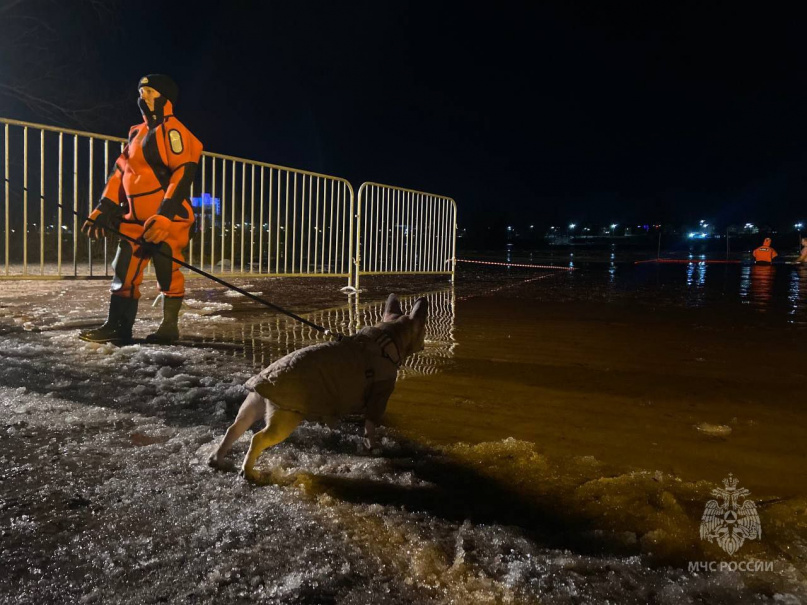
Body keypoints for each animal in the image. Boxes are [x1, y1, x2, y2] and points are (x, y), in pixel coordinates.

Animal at [208, 294, 430, 482]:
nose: (424, 345)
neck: (387, 339)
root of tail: (262, 382)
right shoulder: (379, 396)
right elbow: (371, 425)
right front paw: (374, 447)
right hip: (284, 419)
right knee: (258, 438)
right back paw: (247, 470)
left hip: (252, 406)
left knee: (234, 428)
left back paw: (216, 458)